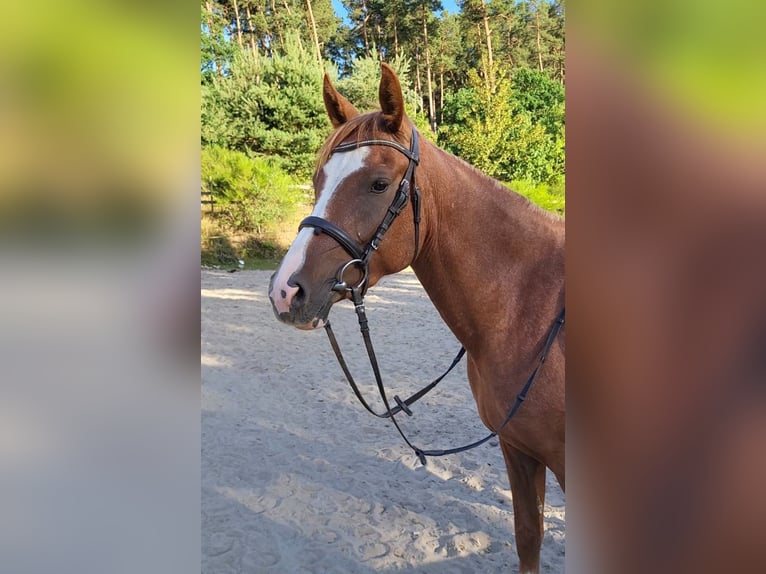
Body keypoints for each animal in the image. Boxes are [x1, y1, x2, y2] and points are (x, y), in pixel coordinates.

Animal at [268, 63, 565, 573]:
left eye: (378, 183)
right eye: (317, 180)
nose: (285, 290)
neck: (531, 310)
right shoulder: (519, 450)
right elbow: (529, 538)